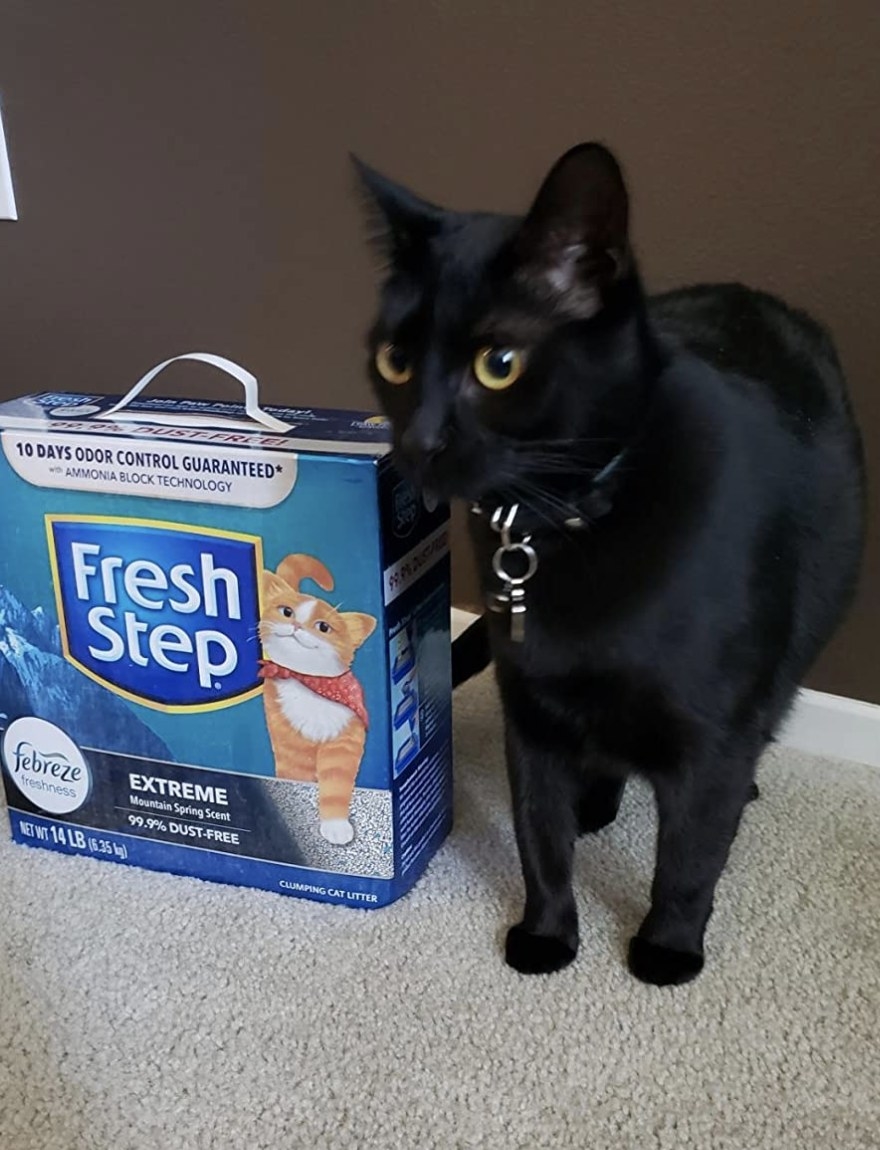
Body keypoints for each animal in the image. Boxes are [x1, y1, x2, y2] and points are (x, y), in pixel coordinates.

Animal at [354, 143, 860, 984]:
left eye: (499, 364)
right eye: (394, 360)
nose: (418, 442)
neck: (556, 524)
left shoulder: (712, 733)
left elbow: (689, 856)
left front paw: (667, 949)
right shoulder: (530, 712)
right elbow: (539, 837)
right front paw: (548, 936)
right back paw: (596, 800)